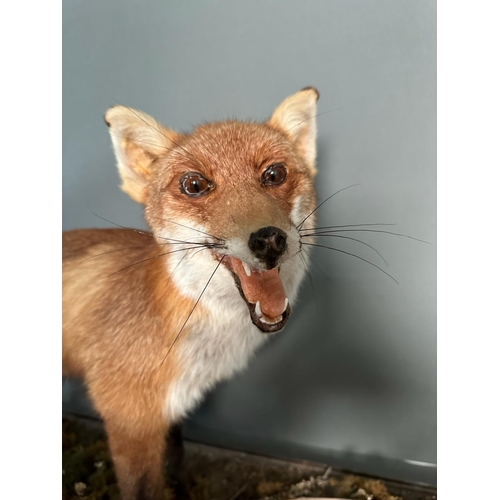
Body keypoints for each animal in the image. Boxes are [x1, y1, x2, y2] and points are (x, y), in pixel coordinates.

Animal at [62, 88, 320, 498]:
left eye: (274, 174)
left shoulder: (171, 412)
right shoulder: (129, 420)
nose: (269, 239)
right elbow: (143, 488)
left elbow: (176, 465)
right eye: (194, 185)